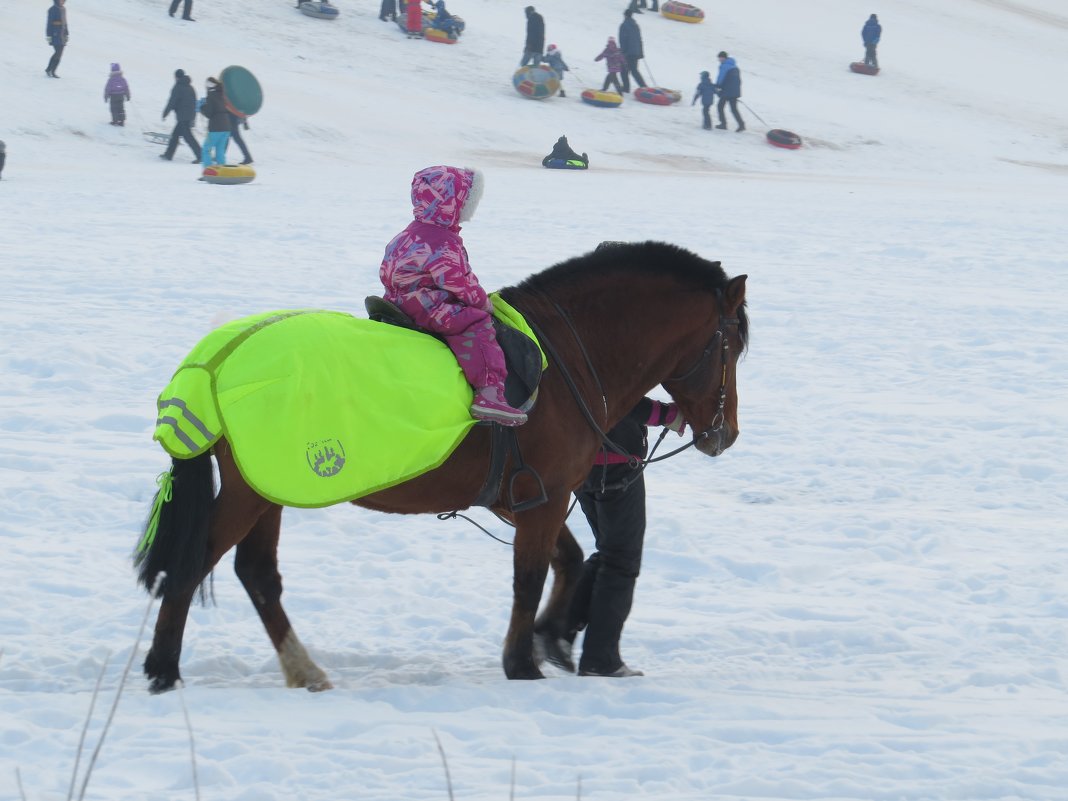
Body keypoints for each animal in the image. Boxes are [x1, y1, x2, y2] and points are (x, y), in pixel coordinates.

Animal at [135, 240, 751, 692]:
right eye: (733, 346)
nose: (725, 433)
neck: (566, 360)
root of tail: (216, 361)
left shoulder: (522, 497)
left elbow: (569, 561)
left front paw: (551, 635)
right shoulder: (546, 498)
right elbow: (529, 577)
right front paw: (521, 663)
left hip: (271, 487)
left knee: (257, 574)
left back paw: (302, 670)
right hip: (252, 491)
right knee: (195, 564)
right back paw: (164, 668)